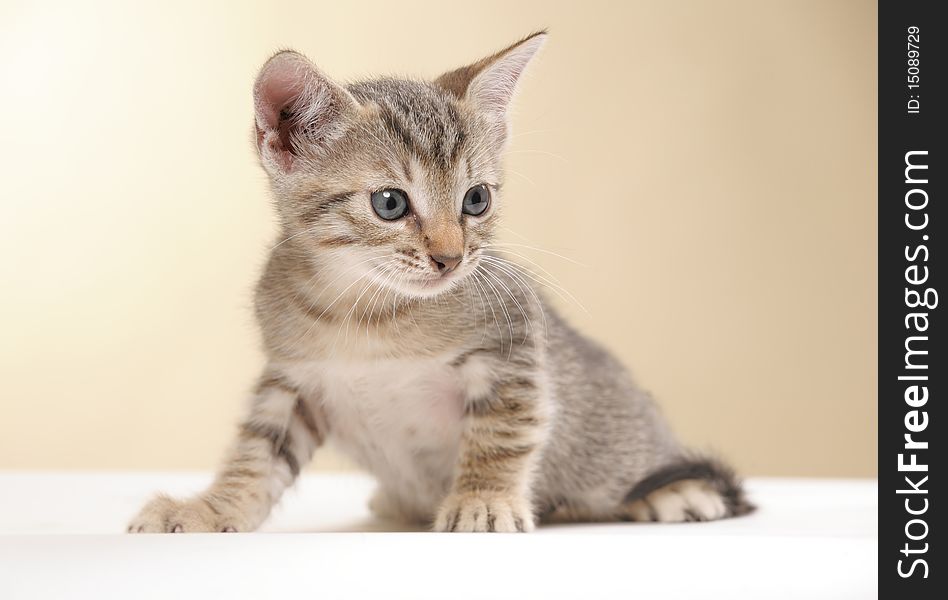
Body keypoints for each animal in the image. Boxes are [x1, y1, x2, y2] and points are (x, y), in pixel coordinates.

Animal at [128, 30, 748, 532]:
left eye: (476, 199)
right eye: (389, 203)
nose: (451, 257)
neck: (369, 314)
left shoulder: (513, 343)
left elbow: (503, 432)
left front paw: (484, 500)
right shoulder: (291, 379)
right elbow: (256, 454)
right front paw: (211, 509)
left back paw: (675, 491)